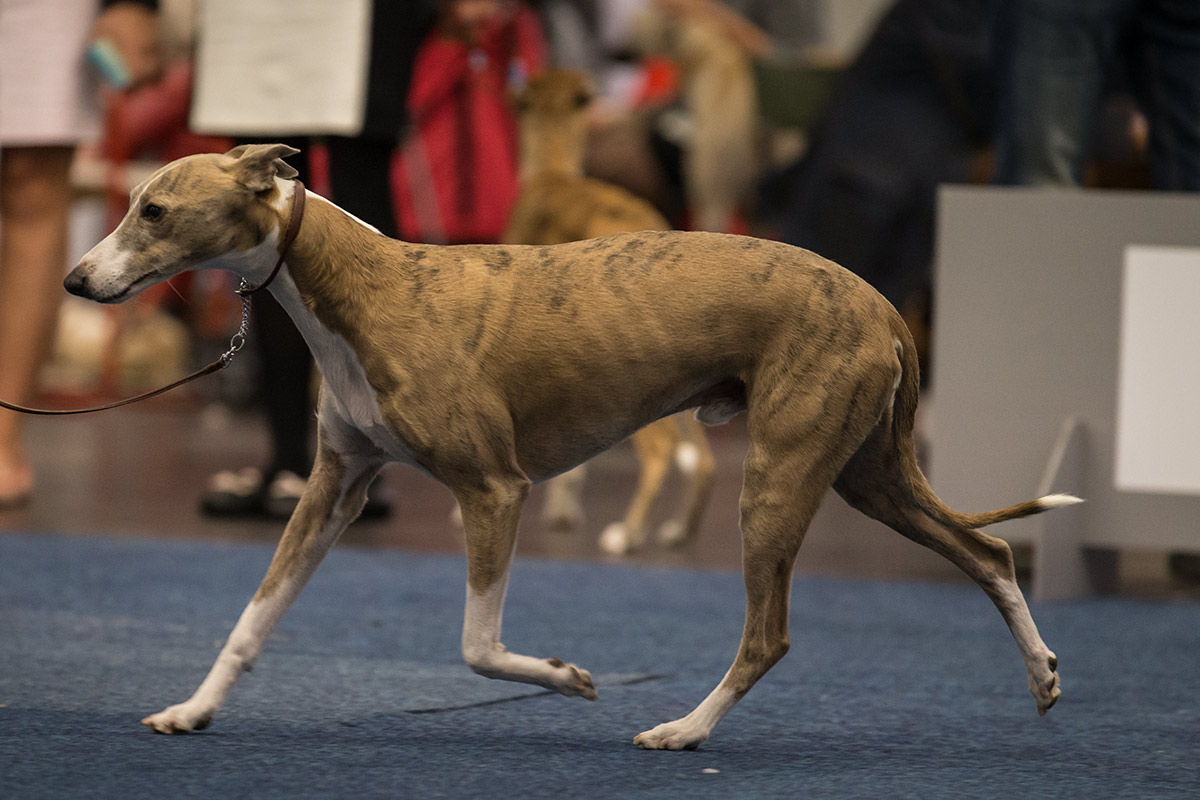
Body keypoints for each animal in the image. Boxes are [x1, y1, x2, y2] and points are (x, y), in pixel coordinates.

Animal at [65, 143, 1075, 753]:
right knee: (987, 550)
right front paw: (192, 709)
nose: (76, 280)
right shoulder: (333, 486)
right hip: (868, 473)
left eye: (155, 212)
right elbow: (253, 617)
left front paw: (564, 678)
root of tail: (883, 305)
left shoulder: (493, 488)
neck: (362, 286)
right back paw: (1042, 677)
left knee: (771, 634)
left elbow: (478, 646)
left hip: (780, 479)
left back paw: (685, 729)